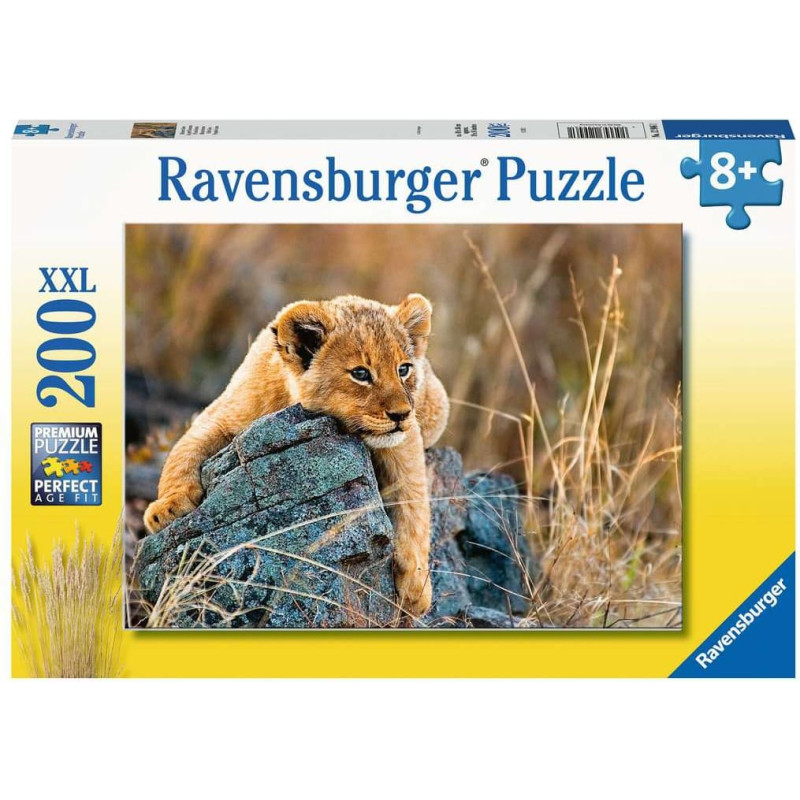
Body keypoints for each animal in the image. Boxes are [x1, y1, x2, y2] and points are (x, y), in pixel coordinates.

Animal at [143, 293, 449, 616]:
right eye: (360, 374)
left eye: (403, 369)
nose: (401, 414)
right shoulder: (220, 414)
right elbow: (182, 452)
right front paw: (166, 509)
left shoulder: (405, 441)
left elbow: (414, 503)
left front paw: (416, 588)